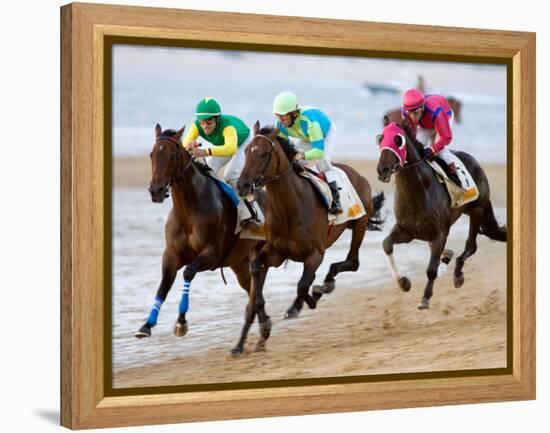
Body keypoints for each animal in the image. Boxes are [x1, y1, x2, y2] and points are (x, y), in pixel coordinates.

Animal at [134, 124, 272, 354]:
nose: (156, 191)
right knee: (253, 289)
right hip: (239, 264)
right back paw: (264, 327)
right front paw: (146, 325)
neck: (188, 209)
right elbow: (164, 284)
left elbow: (188, 272)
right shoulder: (171, 255)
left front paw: (181, 321)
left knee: (257, 287)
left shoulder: (211, 254)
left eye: (172, 156)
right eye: (152, 154)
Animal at [237, 121, 384, 340]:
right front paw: (264, 321)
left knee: (353, 262)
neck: (290, 209)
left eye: (264, 153)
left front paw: (310, 300)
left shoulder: (316, 254)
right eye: (246, 151)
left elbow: (302, 285)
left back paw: (324, 286)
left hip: (359, 224)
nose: (242, 185)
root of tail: (358, 175)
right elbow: (256, 267)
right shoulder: (276, 253)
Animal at [378, 116, 506, 308]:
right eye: (380, 138)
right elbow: (387, 244)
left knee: (471, 246)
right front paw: (403, 282)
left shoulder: (440, 233)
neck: (417, 190)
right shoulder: (406, 231)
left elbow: (431, 270)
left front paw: (425, 298)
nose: (382, 170)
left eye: (398, 140)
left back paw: (458, 274)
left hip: (477, 210)